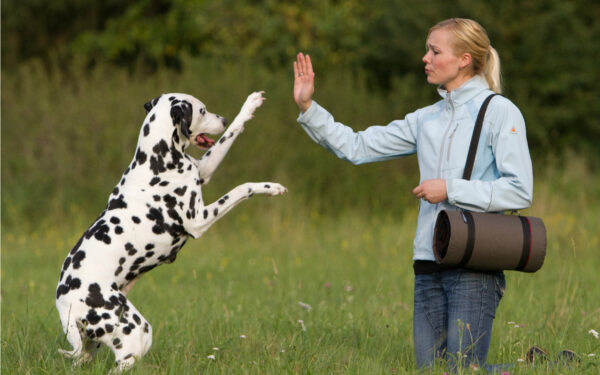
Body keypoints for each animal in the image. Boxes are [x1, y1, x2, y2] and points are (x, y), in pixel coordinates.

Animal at [55, 91, 286, 374]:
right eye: (202, 110)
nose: (222, 119)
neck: (156, 161)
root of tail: (64, 302)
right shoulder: (199, 220)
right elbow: (241, 189)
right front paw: (270, 187)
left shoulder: (204, 169)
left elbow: (229, 136)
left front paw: (249, 106)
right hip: (136, 332)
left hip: (92, 346)